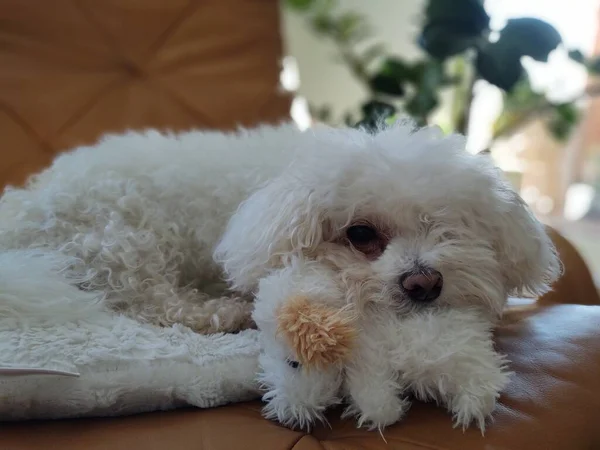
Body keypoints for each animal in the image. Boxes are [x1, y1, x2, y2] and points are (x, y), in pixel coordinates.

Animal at [0, 121, 560, 430]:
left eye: (448, 227)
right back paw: (222, 311)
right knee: (147, 300)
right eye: (360, 234)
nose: (423, 284)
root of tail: (26, 207)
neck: (278, 190)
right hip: (123, 237)